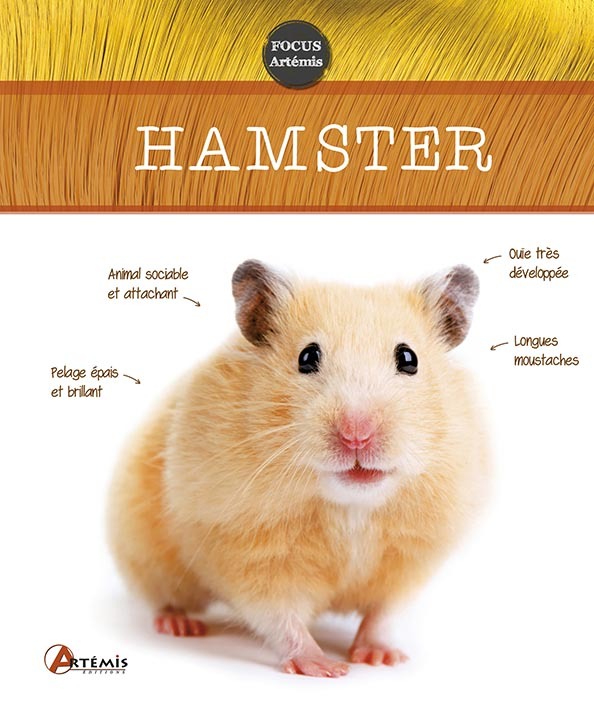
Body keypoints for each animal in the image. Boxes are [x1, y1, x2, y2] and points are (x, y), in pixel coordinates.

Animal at [108, 260, 489, 678]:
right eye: (307, 357)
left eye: (409, 359)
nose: (357, 435)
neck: (350, 506)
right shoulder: (247, 552)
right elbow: (281, 616)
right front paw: (327, 667)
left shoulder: (410, 561)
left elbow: (384, 613)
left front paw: (381, 658)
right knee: (164, 598)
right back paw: (179, 625)